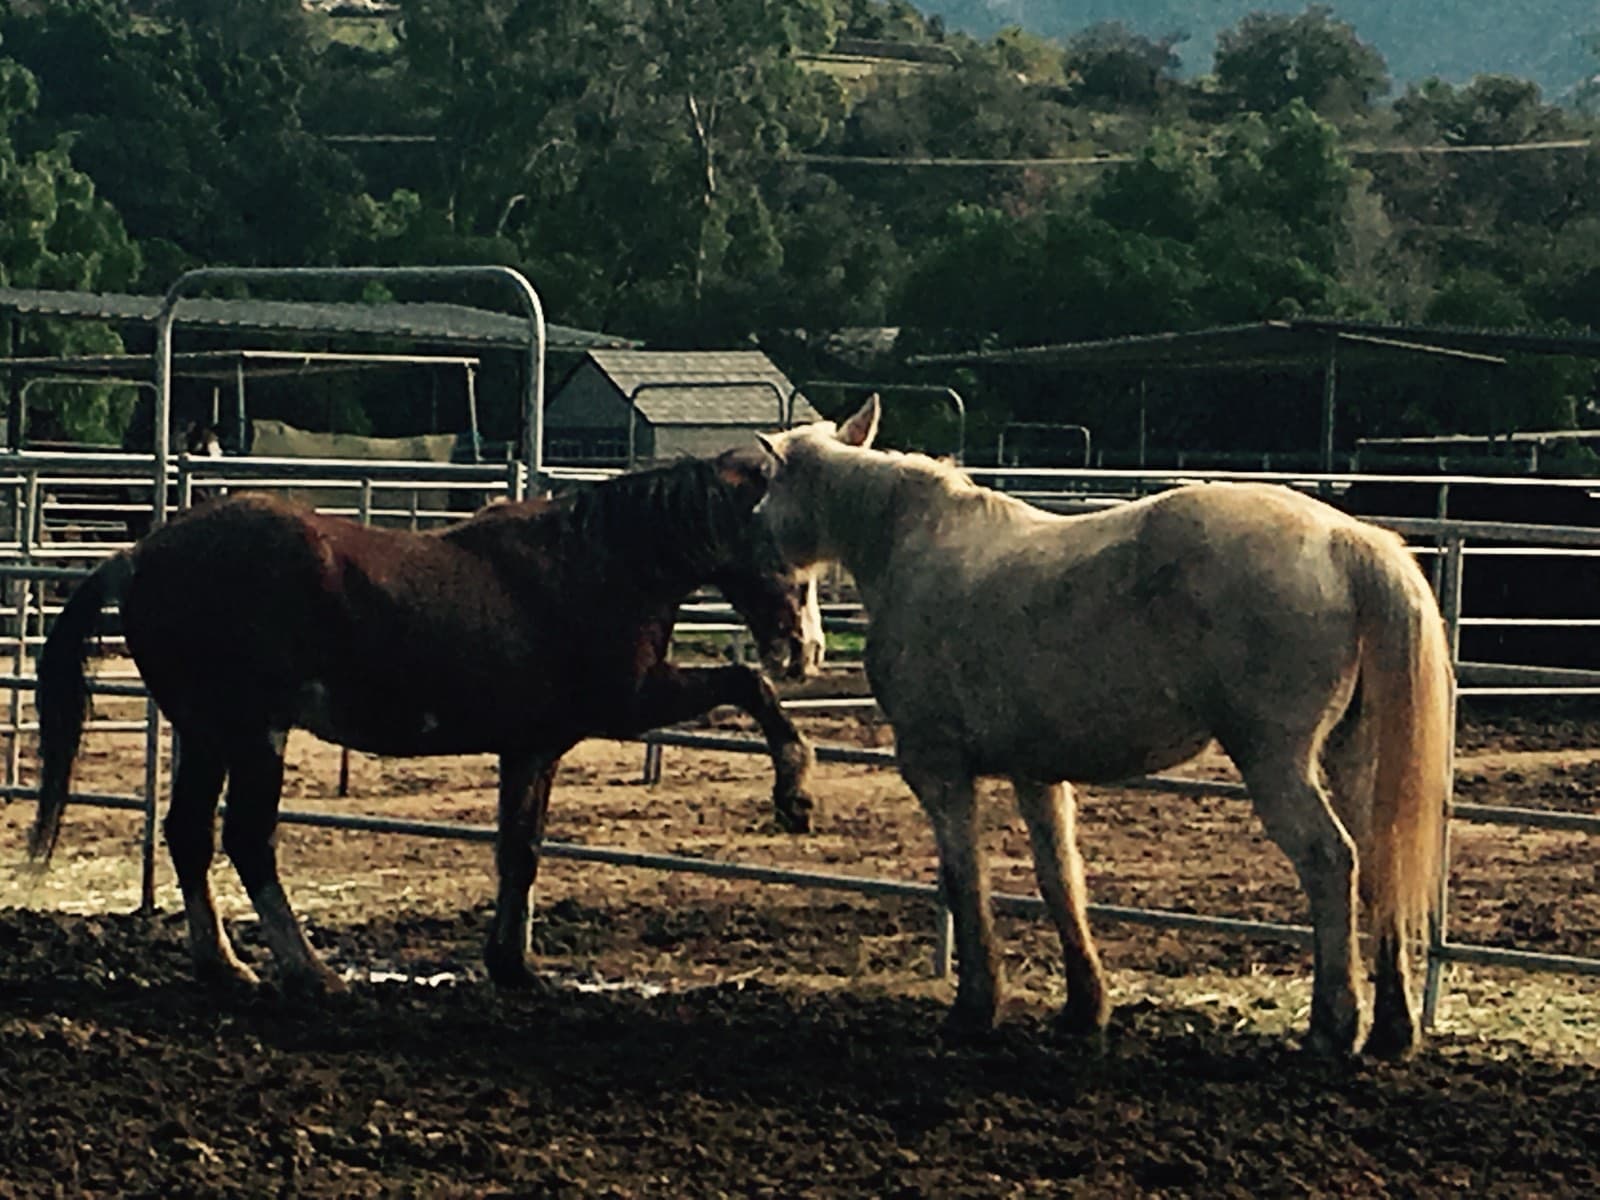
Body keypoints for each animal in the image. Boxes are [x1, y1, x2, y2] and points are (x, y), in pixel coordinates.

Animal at [29, 448, 824, 994]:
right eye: (791, 549)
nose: (806, 650)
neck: (593, 566)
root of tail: (137, 556)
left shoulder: (533, 748)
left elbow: (520, 850)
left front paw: (513, 967)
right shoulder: (629, 702)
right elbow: (746, 684)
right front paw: (795, 793)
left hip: (206, 734)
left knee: (190, 835)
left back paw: (226, 966)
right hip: (254, 735)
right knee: (247, 840)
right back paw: (310, 972)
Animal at [754, 396, 1453, 1058]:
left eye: (768, 486)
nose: (795, 648)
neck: (912, 545)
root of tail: (1344, 540)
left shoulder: (938, 770)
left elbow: (966, 879)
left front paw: (975, 1008)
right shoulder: (1036, 774)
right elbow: (1061, 879)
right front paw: (1083, 1009)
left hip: (1276, 762)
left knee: (1331, 861)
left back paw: (1333, 1029)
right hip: (1353, 758)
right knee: (1382, 861)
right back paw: (1393, 1030)